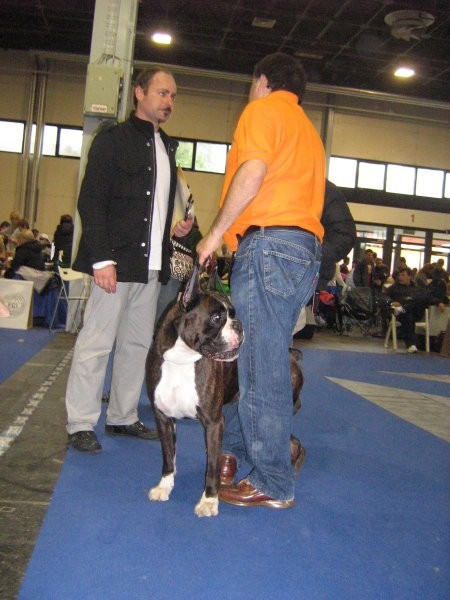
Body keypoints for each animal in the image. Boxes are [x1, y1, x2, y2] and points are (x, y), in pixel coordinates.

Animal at [146, 264, 304, 516]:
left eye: (233, 313)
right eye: (216, 317)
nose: (238, 324)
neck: (182, 359)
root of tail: (291, 355)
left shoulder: (212, 423)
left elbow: (212, 466)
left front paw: (209, 500)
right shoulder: (163, 418)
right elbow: (168, 456)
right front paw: (164, 486)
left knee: (290, 441)